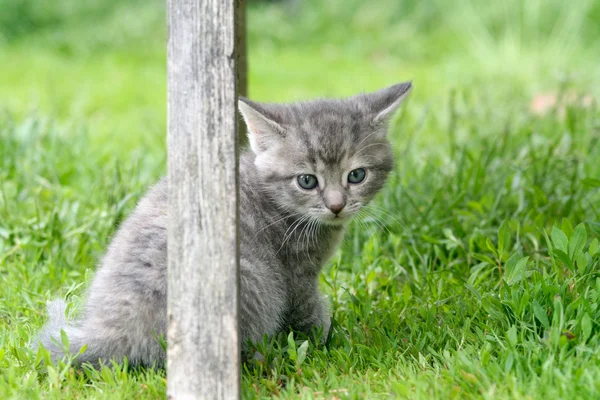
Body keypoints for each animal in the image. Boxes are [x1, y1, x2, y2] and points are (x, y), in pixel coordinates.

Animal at [34, 80, 412, 366]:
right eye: (307, 181)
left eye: (357, 175)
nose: (336, 205)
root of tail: (109, 331)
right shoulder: (295, 276)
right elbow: (307, 311)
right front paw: (329, 338)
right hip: (251, 276)